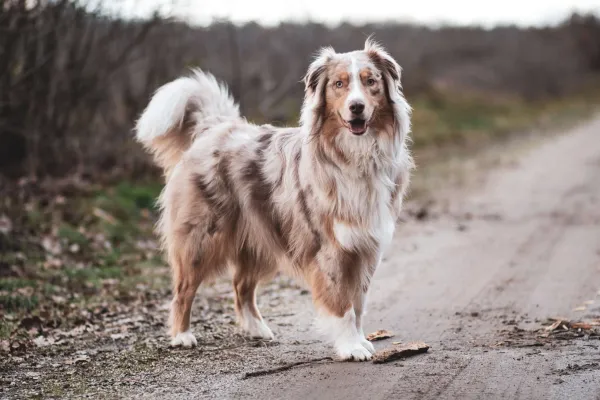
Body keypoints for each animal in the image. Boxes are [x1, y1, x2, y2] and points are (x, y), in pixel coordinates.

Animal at [135, 39, 412, 360]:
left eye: (371, 81)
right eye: (339, 84)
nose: (357, 107)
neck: (356, 154)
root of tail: (214, 127)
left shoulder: (365, 247)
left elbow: (358, 304)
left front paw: (360, 340)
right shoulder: (331, 249)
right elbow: (342, 305)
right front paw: (351, 347)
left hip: (261, 236)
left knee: (241, 285)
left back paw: (256, 329)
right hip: (201, 238)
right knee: (184, 289)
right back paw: (182, 335)